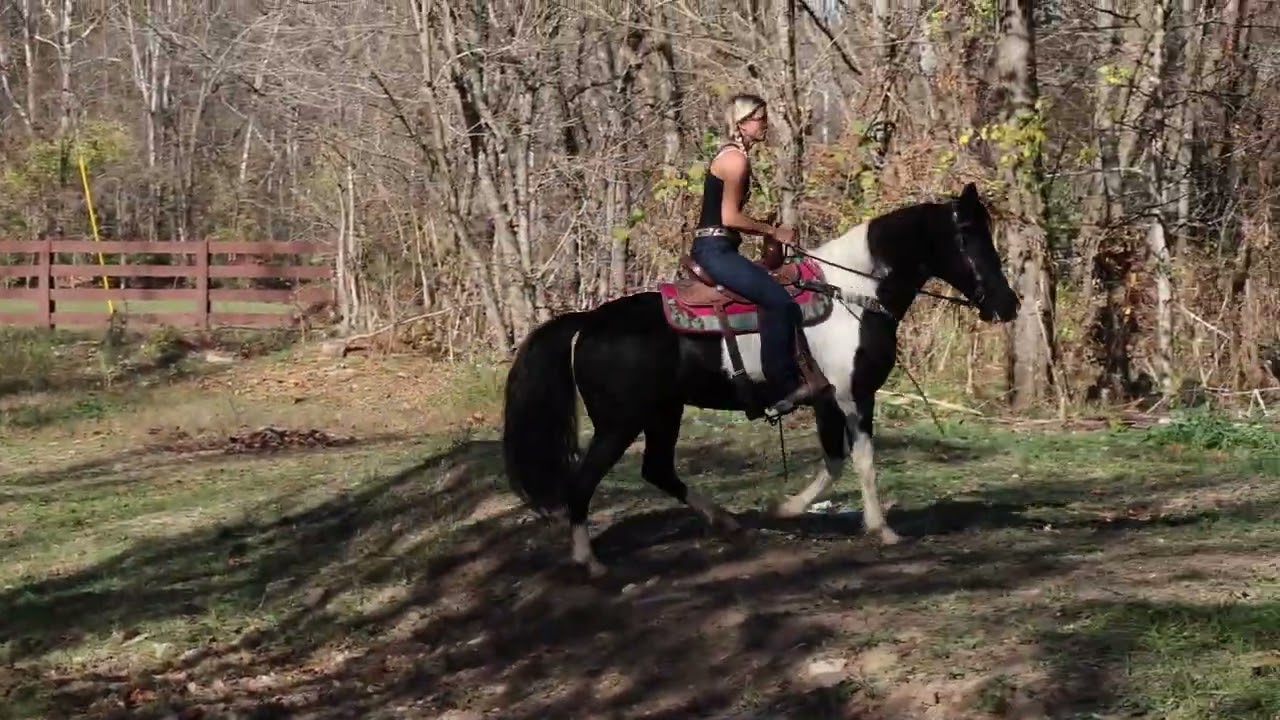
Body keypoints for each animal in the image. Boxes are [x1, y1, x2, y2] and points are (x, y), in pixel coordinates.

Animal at [501, 182, 1020, 577]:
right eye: (971, 239)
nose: (1008, 304)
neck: (855, 292)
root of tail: (585, 323)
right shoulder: (852, 397)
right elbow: (863, 461)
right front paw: (882, 529)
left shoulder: (827, 401)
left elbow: (835, 462)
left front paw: (784, 510)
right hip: (619, 423)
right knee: (583, 481)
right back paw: (589, 561)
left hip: (664, 412)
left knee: (658, 469)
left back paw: (726, 523)